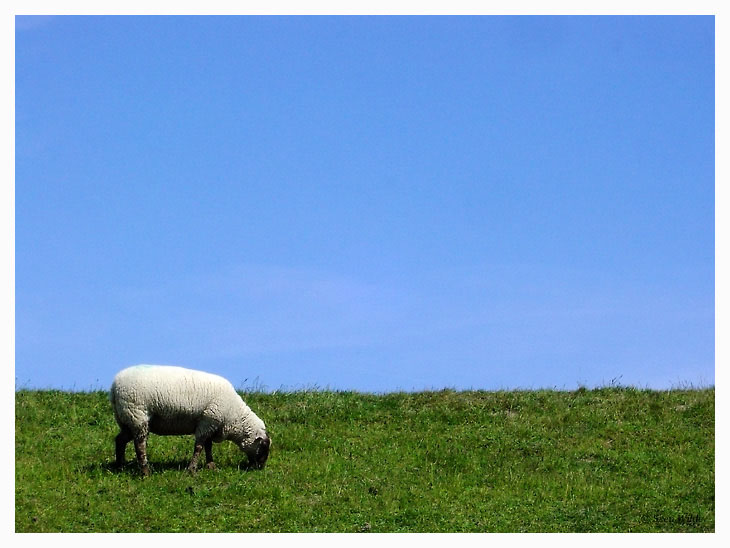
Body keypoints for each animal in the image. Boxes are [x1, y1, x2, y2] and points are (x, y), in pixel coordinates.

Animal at [106, 364, 268, 476]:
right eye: (263, 447)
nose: (260, 468)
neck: (234, 416)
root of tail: (114, 387)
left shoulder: (209, 423)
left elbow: (208, 446)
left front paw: (210, 466)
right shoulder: (208, 421)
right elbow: (199, 447)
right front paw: (192, 469)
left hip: (126, 419)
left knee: (120, 440)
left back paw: (120, 466)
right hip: (138, 415)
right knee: (140, 446)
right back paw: (145, 472)